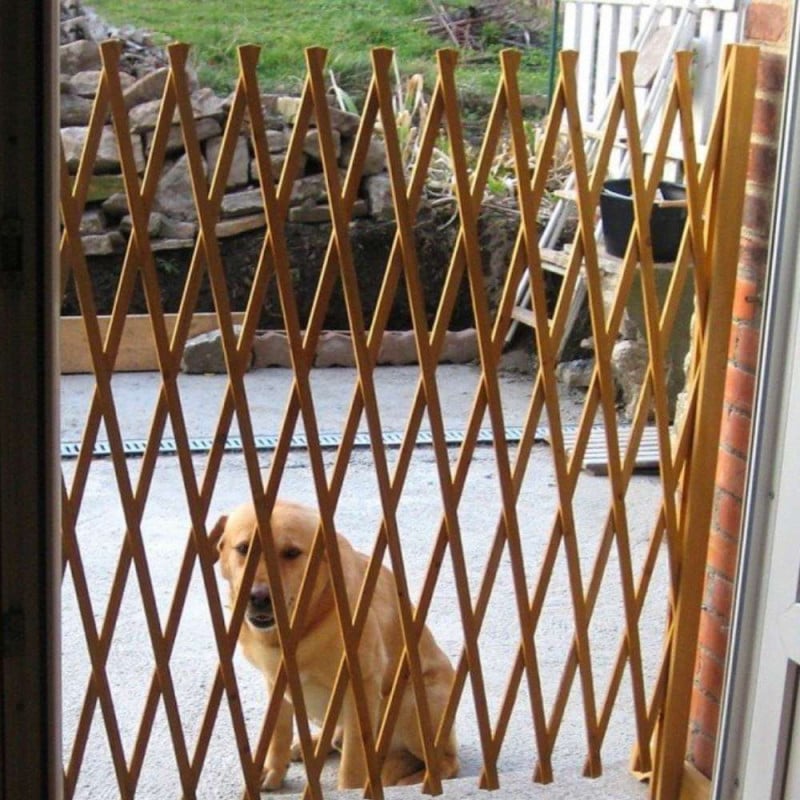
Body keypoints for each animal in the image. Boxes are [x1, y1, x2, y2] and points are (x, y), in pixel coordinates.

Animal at [212, 496, 460, 792]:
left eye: (292, 553)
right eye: (243, 549)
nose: (258, 598)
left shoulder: (361, 686)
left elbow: (352, 763)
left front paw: (350, 789)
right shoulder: (275, 682)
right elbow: (278, 733)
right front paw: (274, 770)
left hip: (409, 702)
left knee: (447, 763)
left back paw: (411, 779)